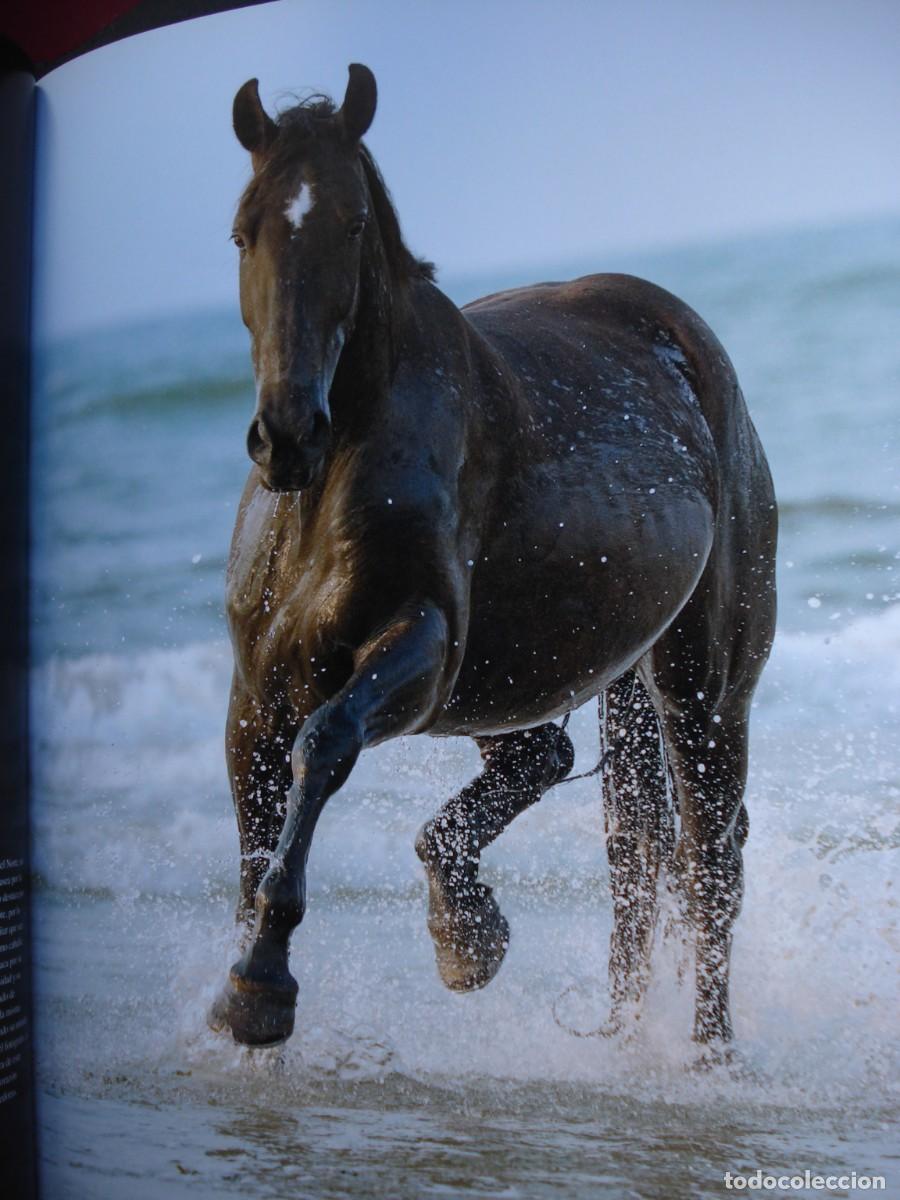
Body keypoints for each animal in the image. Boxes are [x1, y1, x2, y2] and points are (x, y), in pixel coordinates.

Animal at [208, 64, 777, 1053]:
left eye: (351, 225)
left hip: (700, 682)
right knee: (587, 801)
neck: (329, 488)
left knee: (707, 855)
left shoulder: (419, 648)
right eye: (246, 228)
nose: (286, 434)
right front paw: (251, 991)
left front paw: (262, 986)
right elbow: (254, 840)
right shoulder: (254, 699)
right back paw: (492, 942)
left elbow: (323, 748)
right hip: (539, 672)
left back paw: (706, 1055)